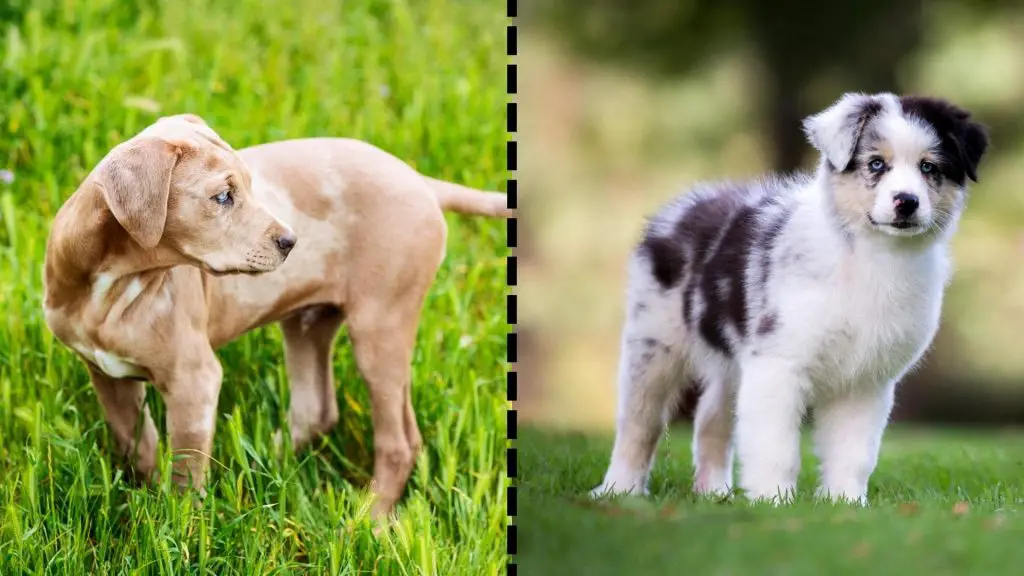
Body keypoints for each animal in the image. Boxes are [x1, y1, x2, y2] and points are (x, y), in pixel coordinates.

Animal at [41, 115, 509, 516]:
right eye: (223, 196)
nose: (291, 241)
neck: (114, 285)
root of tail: (420, 181)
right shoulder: (106, 374)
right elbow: (138, 446)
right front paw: (145, 504)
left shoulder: (194, 380)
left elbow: (185, 474)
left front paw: (178, 528)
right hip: (308, 322)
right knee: (317, 410)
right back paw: (264, 462)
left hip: (382, 324)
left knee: (399, 442)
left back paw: (369, 521)